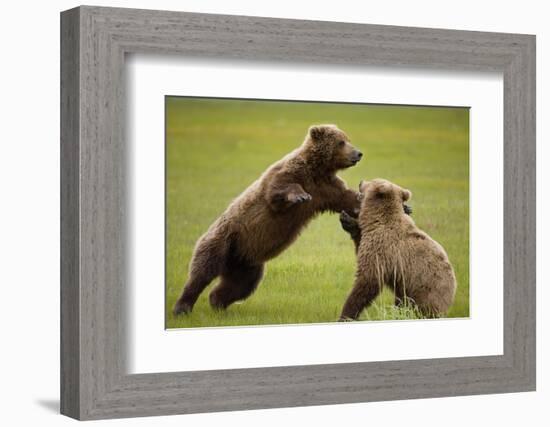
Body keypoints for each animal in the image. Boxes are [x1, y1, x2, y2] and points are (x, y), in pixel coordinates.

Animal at [172, 123, 362, 314]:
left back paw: (217, 303)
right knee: (203, 271)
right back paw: (183, 307)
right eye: (341, 142)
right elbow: (278, 190)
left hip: (246, 262)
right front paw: (300, 196)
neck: (318, 169)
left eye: (348, 139)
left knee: (240, 285)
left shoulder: (326, 188)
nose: (358, 153)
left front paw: (360, 200)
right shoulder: (291, 174)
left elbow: (347, 198)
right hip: (223, 240)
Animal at [338, 178, 460, 320]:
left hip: (426, 290)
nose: (361, 181)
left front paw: (346, 314)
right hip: (406, 289)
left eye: (373, 180)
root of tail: (453, 289)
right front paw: (348, 221)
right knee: (402, 303)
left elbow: (368, 280)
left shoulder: (383, 248)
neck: (377, 219)